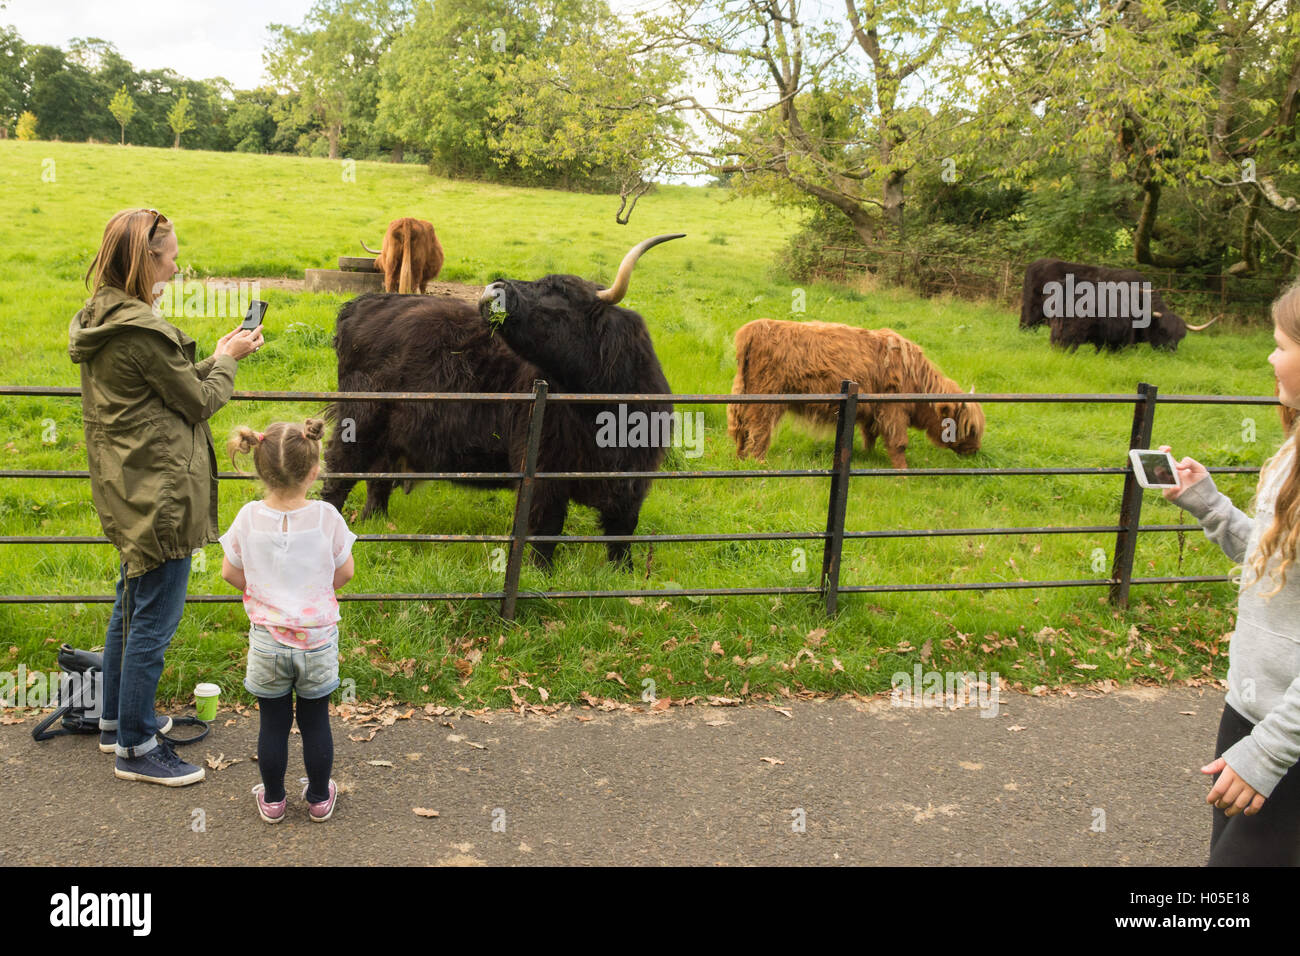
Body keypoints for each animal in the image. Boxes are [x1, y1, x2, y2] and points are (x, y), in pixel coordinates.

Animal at [319, 235, 686, 572]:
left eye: (562, 291)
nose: (495, 288)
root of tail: (364, 302)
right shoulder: (542, 470)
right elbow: (545, 526)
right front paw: (540, 574)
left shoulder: (633, 476)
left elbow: (621, 529)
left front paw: (623, 573)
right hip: (359, 422)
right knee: (339, 475)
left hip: (390, 436)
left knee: (378, 479)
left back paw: (375, 522)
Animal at [728, 319, 977, 468]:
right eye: (969, 428)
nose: (974, 452)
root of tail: (756, 327)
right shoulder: (893, 410)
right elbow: (899, 443)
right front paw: (903, 472)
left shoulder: (872, 412)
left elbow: (870, 435)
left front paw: (868, 456)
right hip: (766, 399)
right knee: (759, 430)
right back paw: (758, 463)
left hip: (744, 392)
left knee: (742, 428)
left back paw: (740, 458)